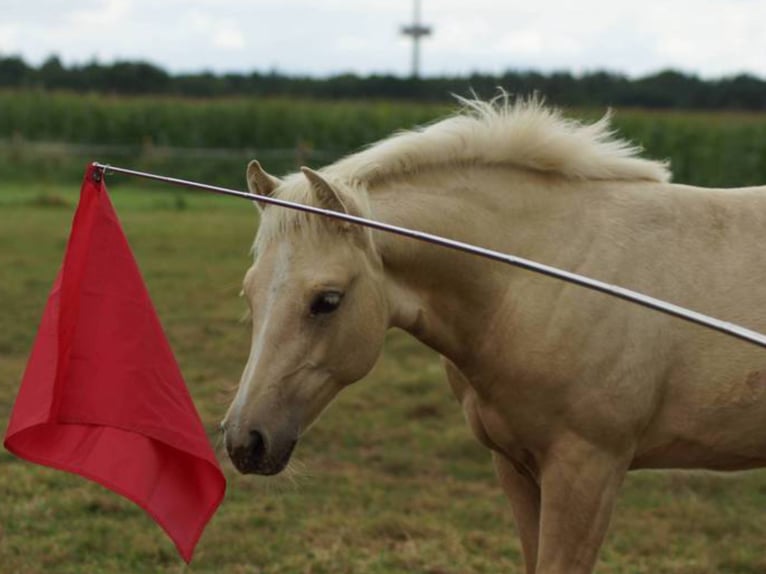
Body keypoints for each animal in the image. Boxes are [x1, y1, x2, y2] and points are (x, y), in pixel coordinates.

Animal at [221, 95, 766, 574]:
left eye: (327, 300)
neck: (545, 277)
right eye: (249, 294)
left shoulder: (588, 471)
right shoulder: (517, 467)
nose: (244, 440)